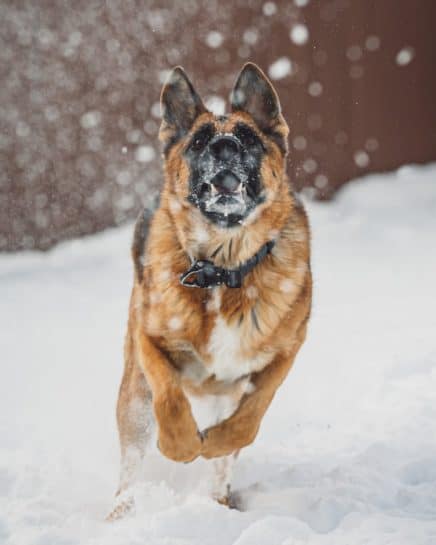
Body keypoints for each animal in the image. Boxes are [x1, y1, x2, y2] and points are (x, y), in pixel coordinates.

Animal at [110, 63, 312, 520]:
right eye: (200, 141)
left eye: (249, 138)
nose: (223, 146)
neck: (222, 269)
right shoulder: (150, 341)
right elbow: (170, 398)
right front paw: (180, 446)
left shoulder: (283, 355)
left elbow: (248, 419)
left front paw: (215, 442)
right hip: (133, 397)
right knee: (130, 464)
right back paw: (121, 512)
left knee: (225, 456)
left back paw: (217, 500)